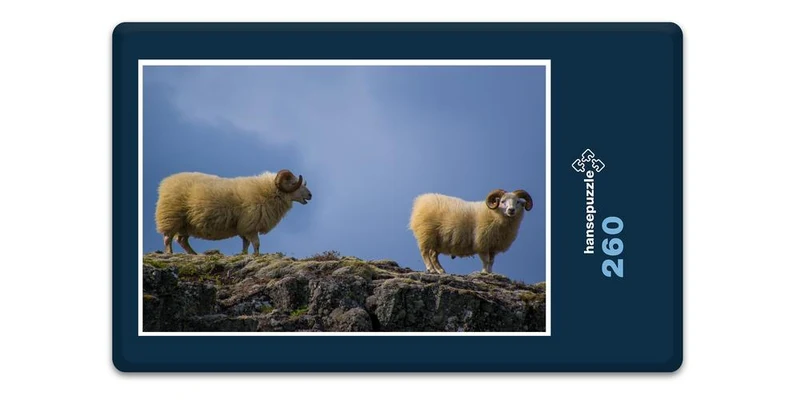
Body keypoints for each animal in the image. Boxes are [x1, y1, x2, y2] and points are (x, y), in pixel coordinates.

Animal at [154, 169, 312, 255]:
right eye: (293, 183)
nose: (310, 195)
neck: (269, 191)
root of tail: (166, 182)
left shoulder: (243, 227)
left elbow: (246, 244)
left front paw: (244, 255)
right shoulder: (251, 225)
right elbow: (256, 244)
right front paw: (256, 256)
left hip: (185, 224)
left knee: (182, 240)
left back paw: (194, 254)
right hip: (172, 217)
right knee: (168, 238)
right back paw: (170, 253)